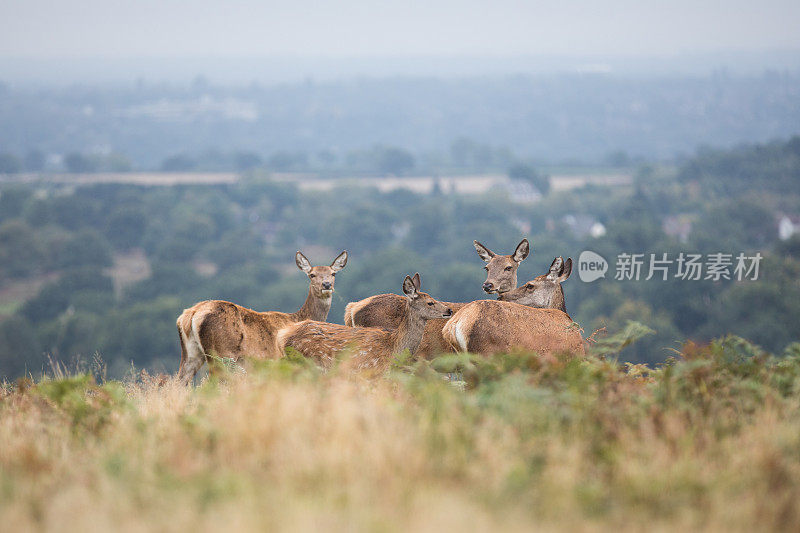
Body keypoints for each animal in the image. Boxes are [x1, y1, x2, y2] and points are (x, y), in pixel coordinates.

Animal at [177, 249, 346, 382]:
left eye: (333, 273)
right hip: (221, 353)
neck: (297, 317)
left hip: (190, 353)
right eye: (312, 275)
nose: (326, 285)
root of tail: (191, 314)